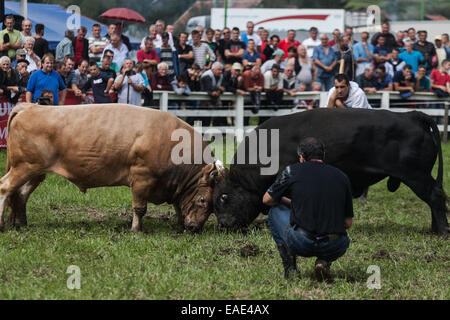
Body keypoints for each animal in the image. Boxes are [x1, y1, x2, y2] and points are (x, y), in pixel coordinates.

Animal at [0, 104, 223, 231]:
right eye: (203, 200)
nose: (195, 227)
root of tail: (30, 107)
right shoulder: (142, 178)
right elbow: (140, 208)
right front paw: (135, 230)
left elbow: (177, 204)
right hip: (24, 167)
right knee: (5, 188)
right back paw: (3, 224)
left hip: (36, 172)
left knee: (20, 194)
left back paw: (22, 222)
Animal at [213, 107, 448, 235]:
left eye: (224, 197)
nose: (223, 225)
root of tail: (411, 115)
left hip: (416, 176)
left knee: (436, 196)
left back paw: (442, 230)